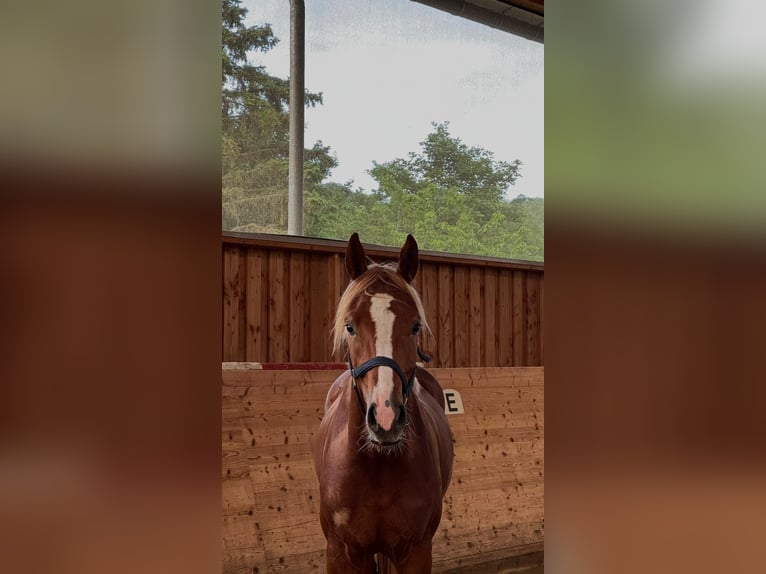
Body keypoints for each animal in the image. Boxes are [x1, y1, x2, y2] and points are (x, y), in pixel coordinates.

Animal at [312, 233, 454, 573]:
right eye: (350, 326)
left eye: (415, 326)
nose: (386, 419)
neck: (376, 464)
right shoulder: (341, 554)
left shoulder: (416, 551)